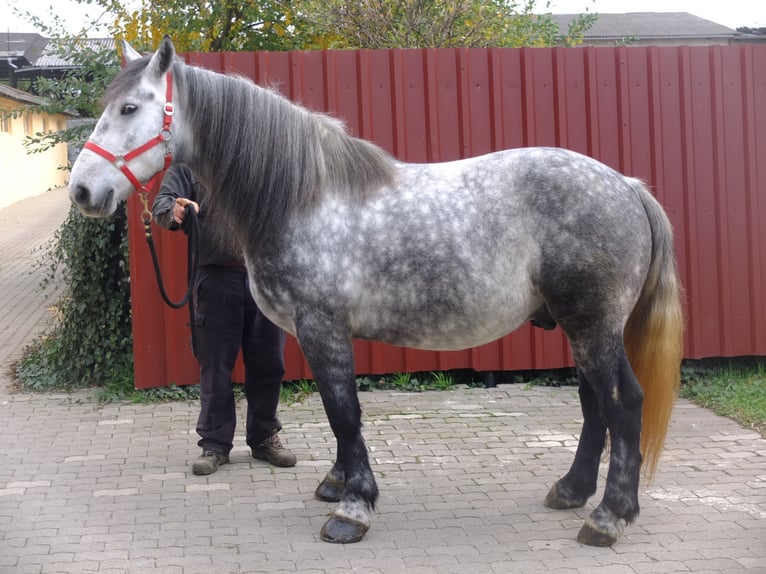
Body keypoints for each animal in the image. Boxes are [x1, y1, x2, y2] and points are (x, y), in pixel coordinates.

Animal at [69, 37, 688, 548]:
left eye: (130, 108)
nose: (82, 191)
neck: (301, 195)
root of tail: (626, 186)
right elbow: (336, 414)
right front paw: (337, 483)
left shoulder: (322, 328)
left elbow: (344, 412)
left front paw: (353, 509)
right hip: (580, 327)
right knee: (594, 406)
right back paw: (571, 491)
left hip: (593, 326)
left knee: (623, 403)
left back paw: (608, 517)